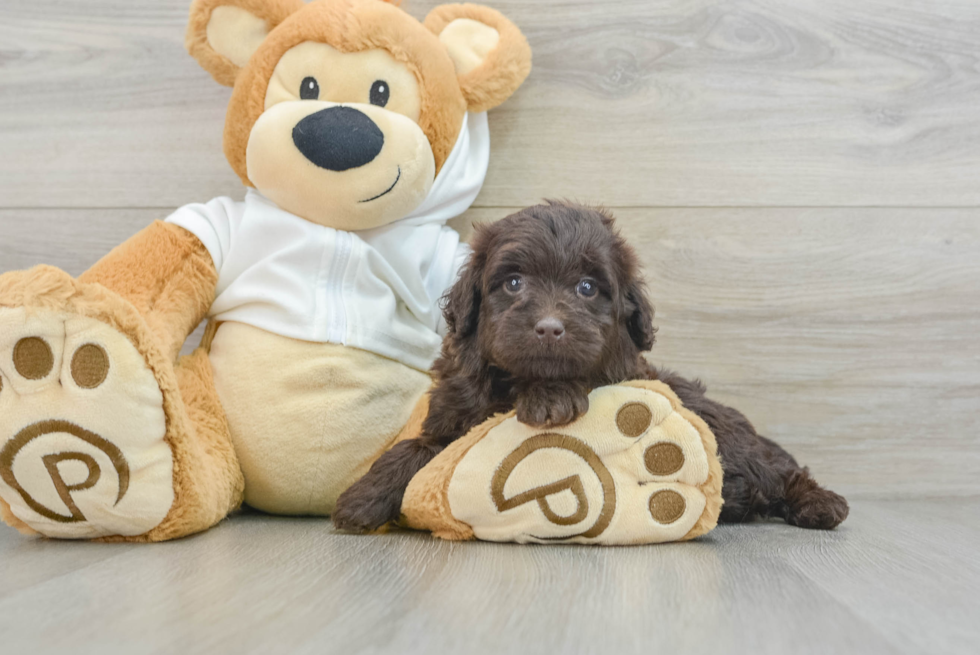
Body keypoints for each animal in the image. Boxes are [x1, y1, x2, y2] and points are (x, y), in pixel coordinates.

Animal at [332, 202, 848, 536]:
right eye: (513, 283)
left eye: (586, 287)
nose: (549, 328)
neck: (515, 382)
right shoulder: (451, 418)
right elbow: (416, 449)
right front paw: (361, 498)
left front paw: (551, 398)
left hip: (736, 441)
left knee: (779, 470)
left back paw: (821, 504)